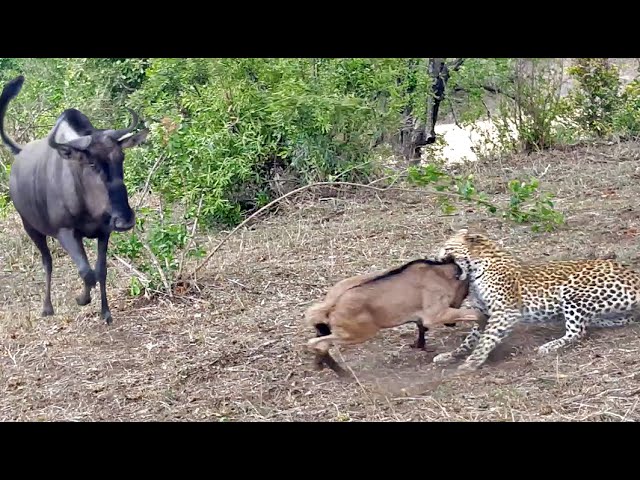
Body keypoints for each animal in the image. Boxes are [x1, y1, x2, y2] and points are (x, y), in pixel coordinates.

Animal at [428, 229, 640, 372]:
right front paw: (451, 355)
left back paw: (548, 346)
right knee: (616, 320)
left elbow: (486, 339)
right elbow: (470, 339)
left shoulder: (505, 312)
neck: (474, 272)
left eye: (446, 248)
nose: (433, 258)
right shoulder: (485, 313)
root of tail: (634, 275)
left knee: (578, 332)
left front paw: (473, 362)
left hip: (571, 290)